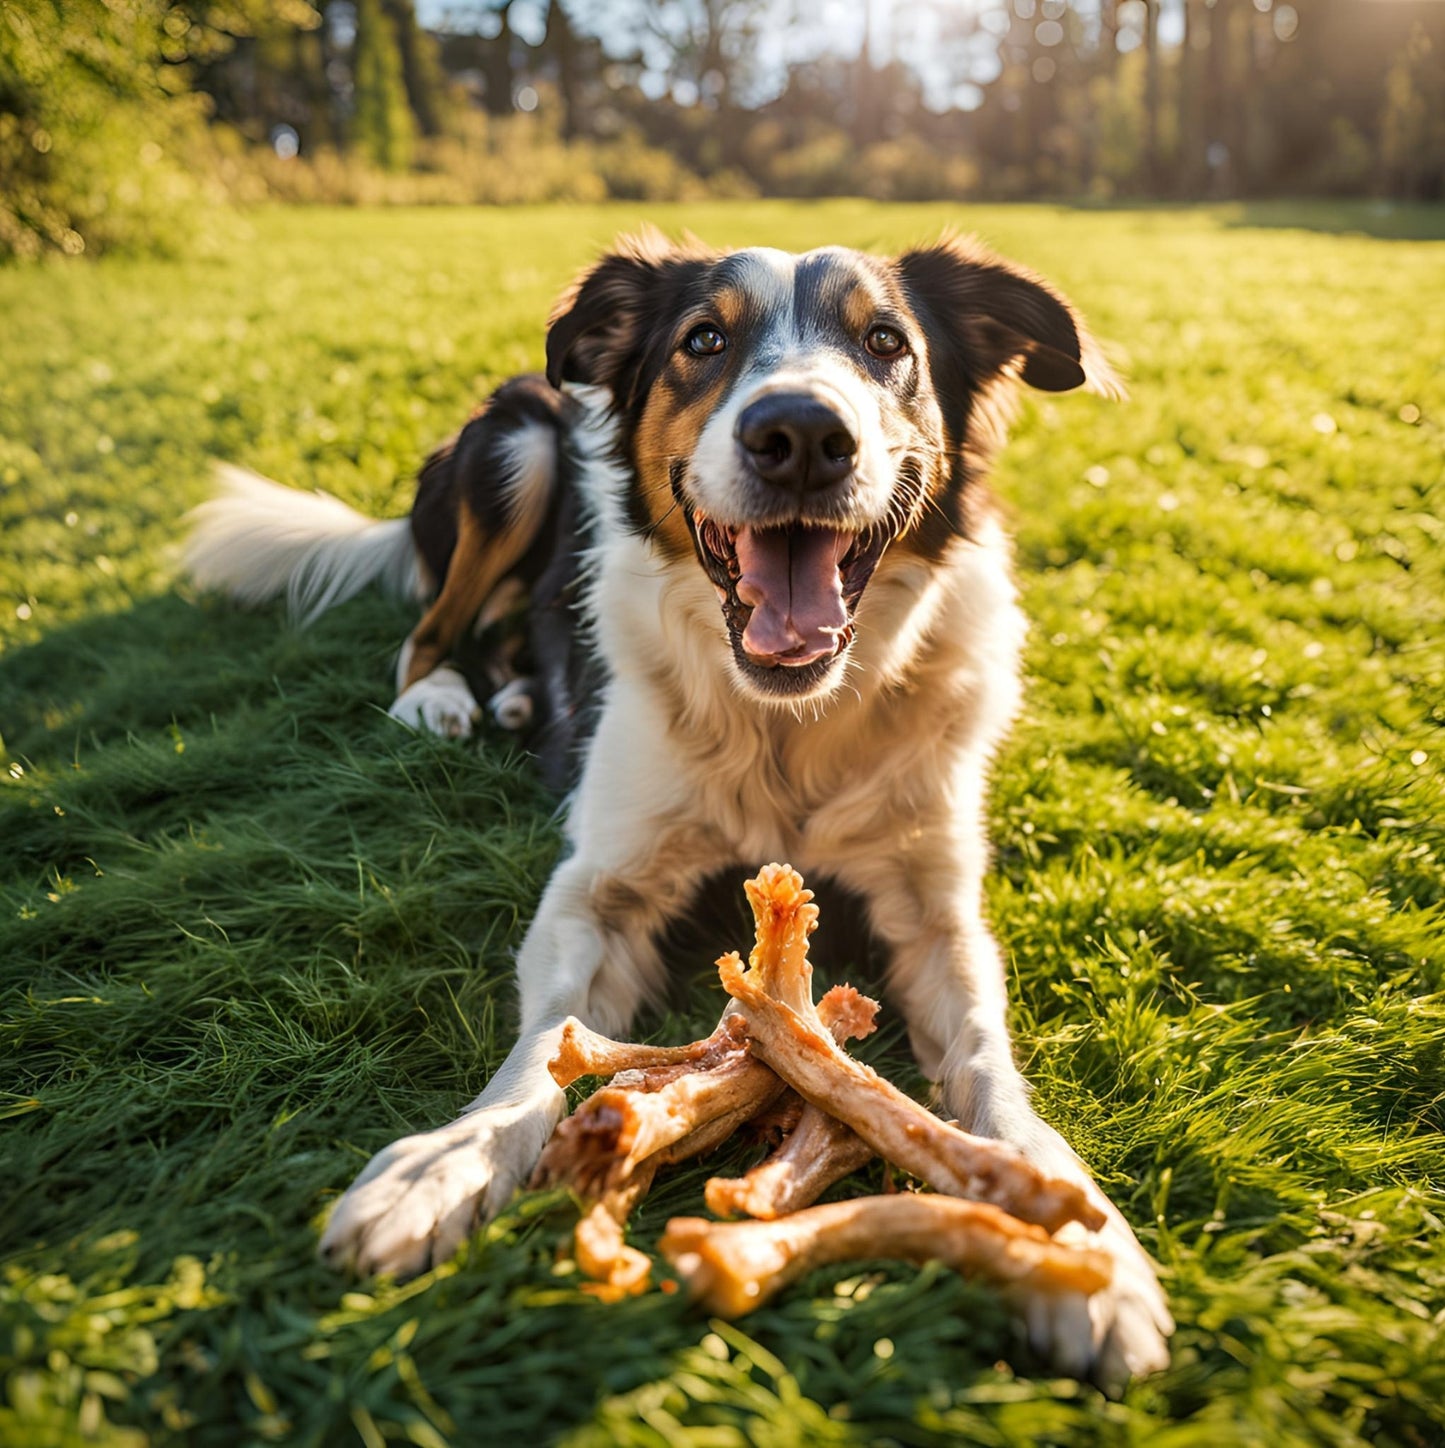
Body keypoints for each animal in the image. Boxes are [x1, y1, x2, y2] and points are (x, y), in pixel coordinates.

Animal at [183, 228, 1175, 1390]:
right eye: (703, 339)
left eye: (886, 342)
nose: (800, 435)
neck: (784, 724)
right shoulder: (600, 887)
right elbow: (543, 1045)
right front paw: (438, 1166)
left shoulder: (935, 908)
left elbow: (987, 1063)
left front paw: (1089, 1251)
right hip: (510, 452)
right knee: (429, 628)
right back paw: (445, 697)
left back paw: (516, 694)